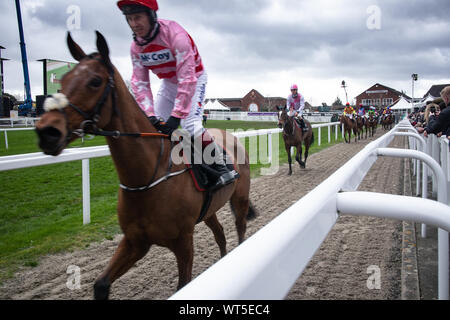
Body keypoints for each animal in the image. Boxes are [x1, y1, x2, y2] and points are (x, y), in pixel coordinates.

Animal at [34, 31, 256, 298]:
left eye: (95, 81)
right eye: (64, 79)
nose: (47, 132)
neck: (148, 177)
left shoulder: (184, 242)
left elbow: (183, 284)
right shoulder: (135, 241)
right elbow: (100, 284)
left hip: (240, 199)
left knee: (240, 230)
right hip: (209, 209)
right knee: (221, 235)